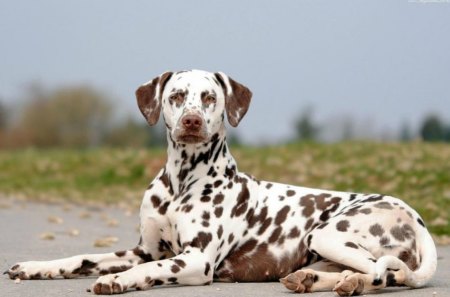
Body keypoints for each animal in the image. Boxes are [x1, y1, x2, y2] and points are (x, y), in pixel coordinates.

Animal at [5, 69, 438, 294]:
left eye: (210, 97)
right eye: (177, 95)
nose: (192, 121)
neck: (181, 182)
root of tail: (416, 218)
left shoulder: (195, 260)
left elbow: (148, 270)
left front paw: (117, 279)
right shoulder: (142, 250)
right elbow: (80, 258)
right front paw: (36, 267)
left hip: (329, 233)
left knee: (386, 272)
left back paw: (352, 282)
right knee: (370, 271)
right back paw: (315, 278)